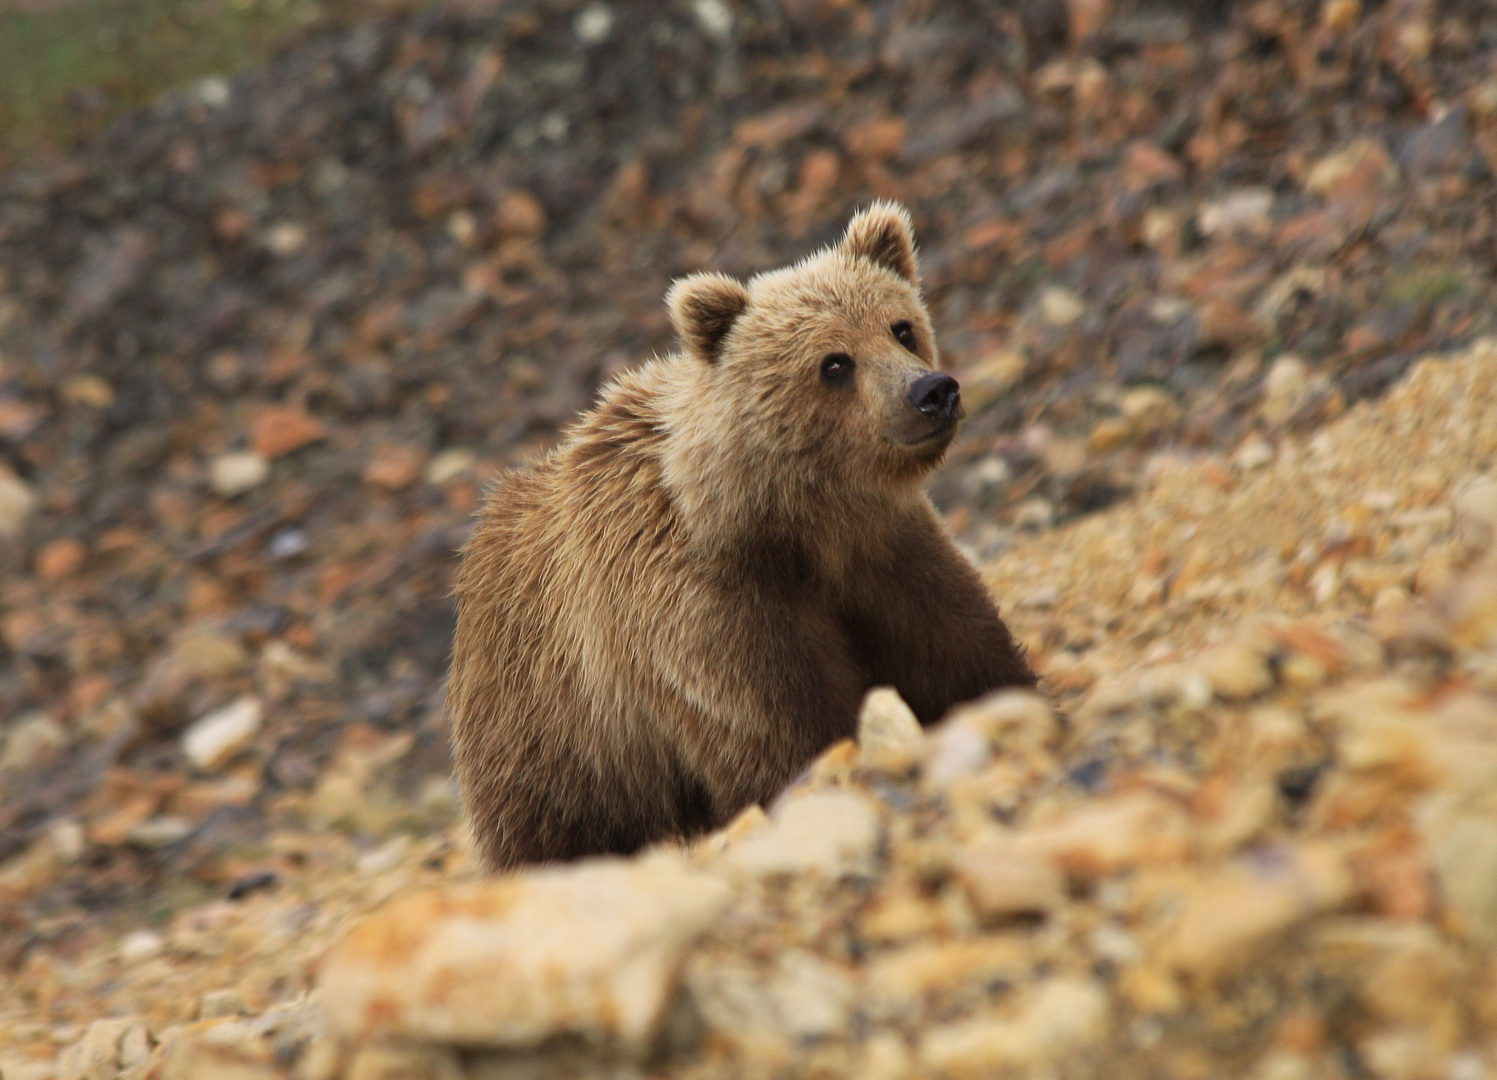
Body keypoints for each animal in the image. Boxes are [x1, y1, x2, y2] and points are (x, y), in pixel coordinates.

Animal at [449, 202, 1035, 874]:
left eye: (902, 328)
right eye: (834, 362)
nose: (931, 391)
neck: (789, 524)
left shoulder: (886, 554)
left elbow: (963, 649)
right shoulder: (708, 613)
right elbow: (781, 730)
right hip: (556, 735)